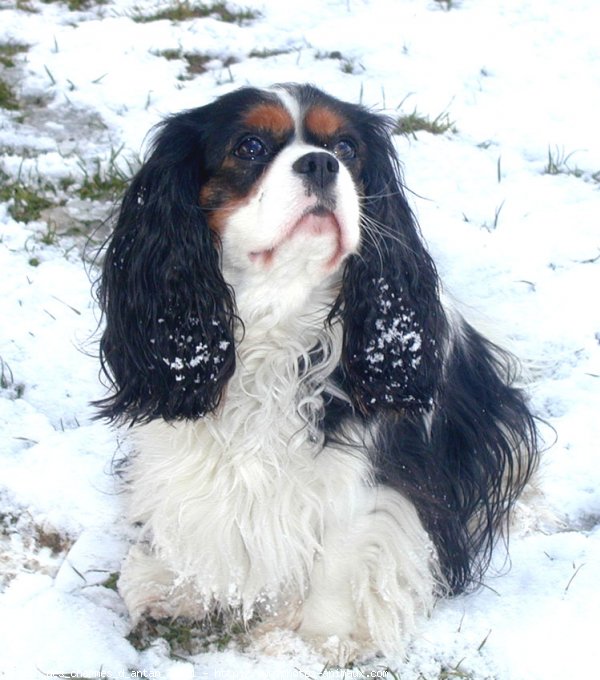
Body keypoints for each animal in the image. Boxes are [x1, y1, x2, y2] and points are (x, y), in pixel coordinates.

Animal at [95, 82, 540, 660]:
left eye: (347, 148)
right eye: (250, 146)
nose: (321, 163)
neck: (275, 313)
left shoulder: (369, 476)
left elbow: (342, 553)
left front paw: (316, 642)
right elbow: (190, 510)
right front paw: (177, 587)